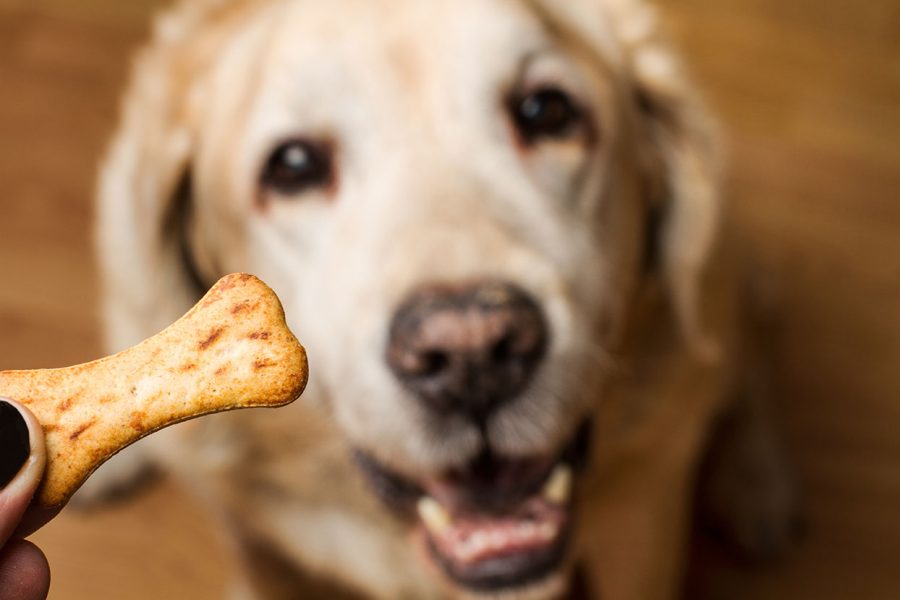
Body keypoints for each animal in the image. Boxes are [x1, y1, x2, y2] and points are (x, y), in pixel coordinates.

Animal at [91, 1, 800, 596]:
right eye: (292, 166)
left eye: (546, 112)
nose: (471, 354)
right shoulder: (257, 539)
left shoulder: (644, 514)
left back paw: (760, 485)